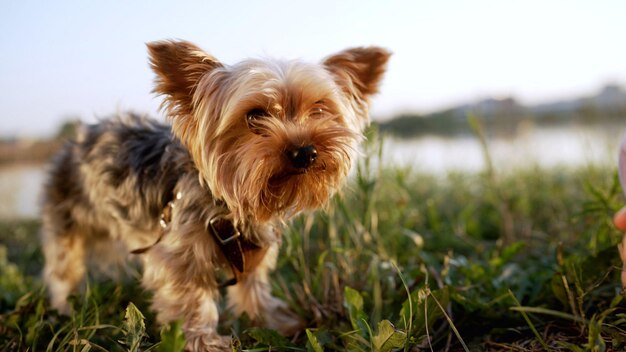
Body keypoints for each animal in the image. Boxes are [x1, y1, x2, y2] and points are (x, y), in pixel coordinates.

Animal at [40, 39, 386, 350]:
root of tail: (76, 141)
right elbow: (192, 300)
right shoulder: (177, 255)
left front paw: (272, 322)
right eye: (255, 115)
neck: (227, 204)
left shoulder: (253, 250)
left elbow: (253, 287)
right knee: (63, 270)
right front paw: (202, 341)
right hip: (66, 221)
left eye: (319, 109)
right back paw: (66, 307)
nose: (305, 152)